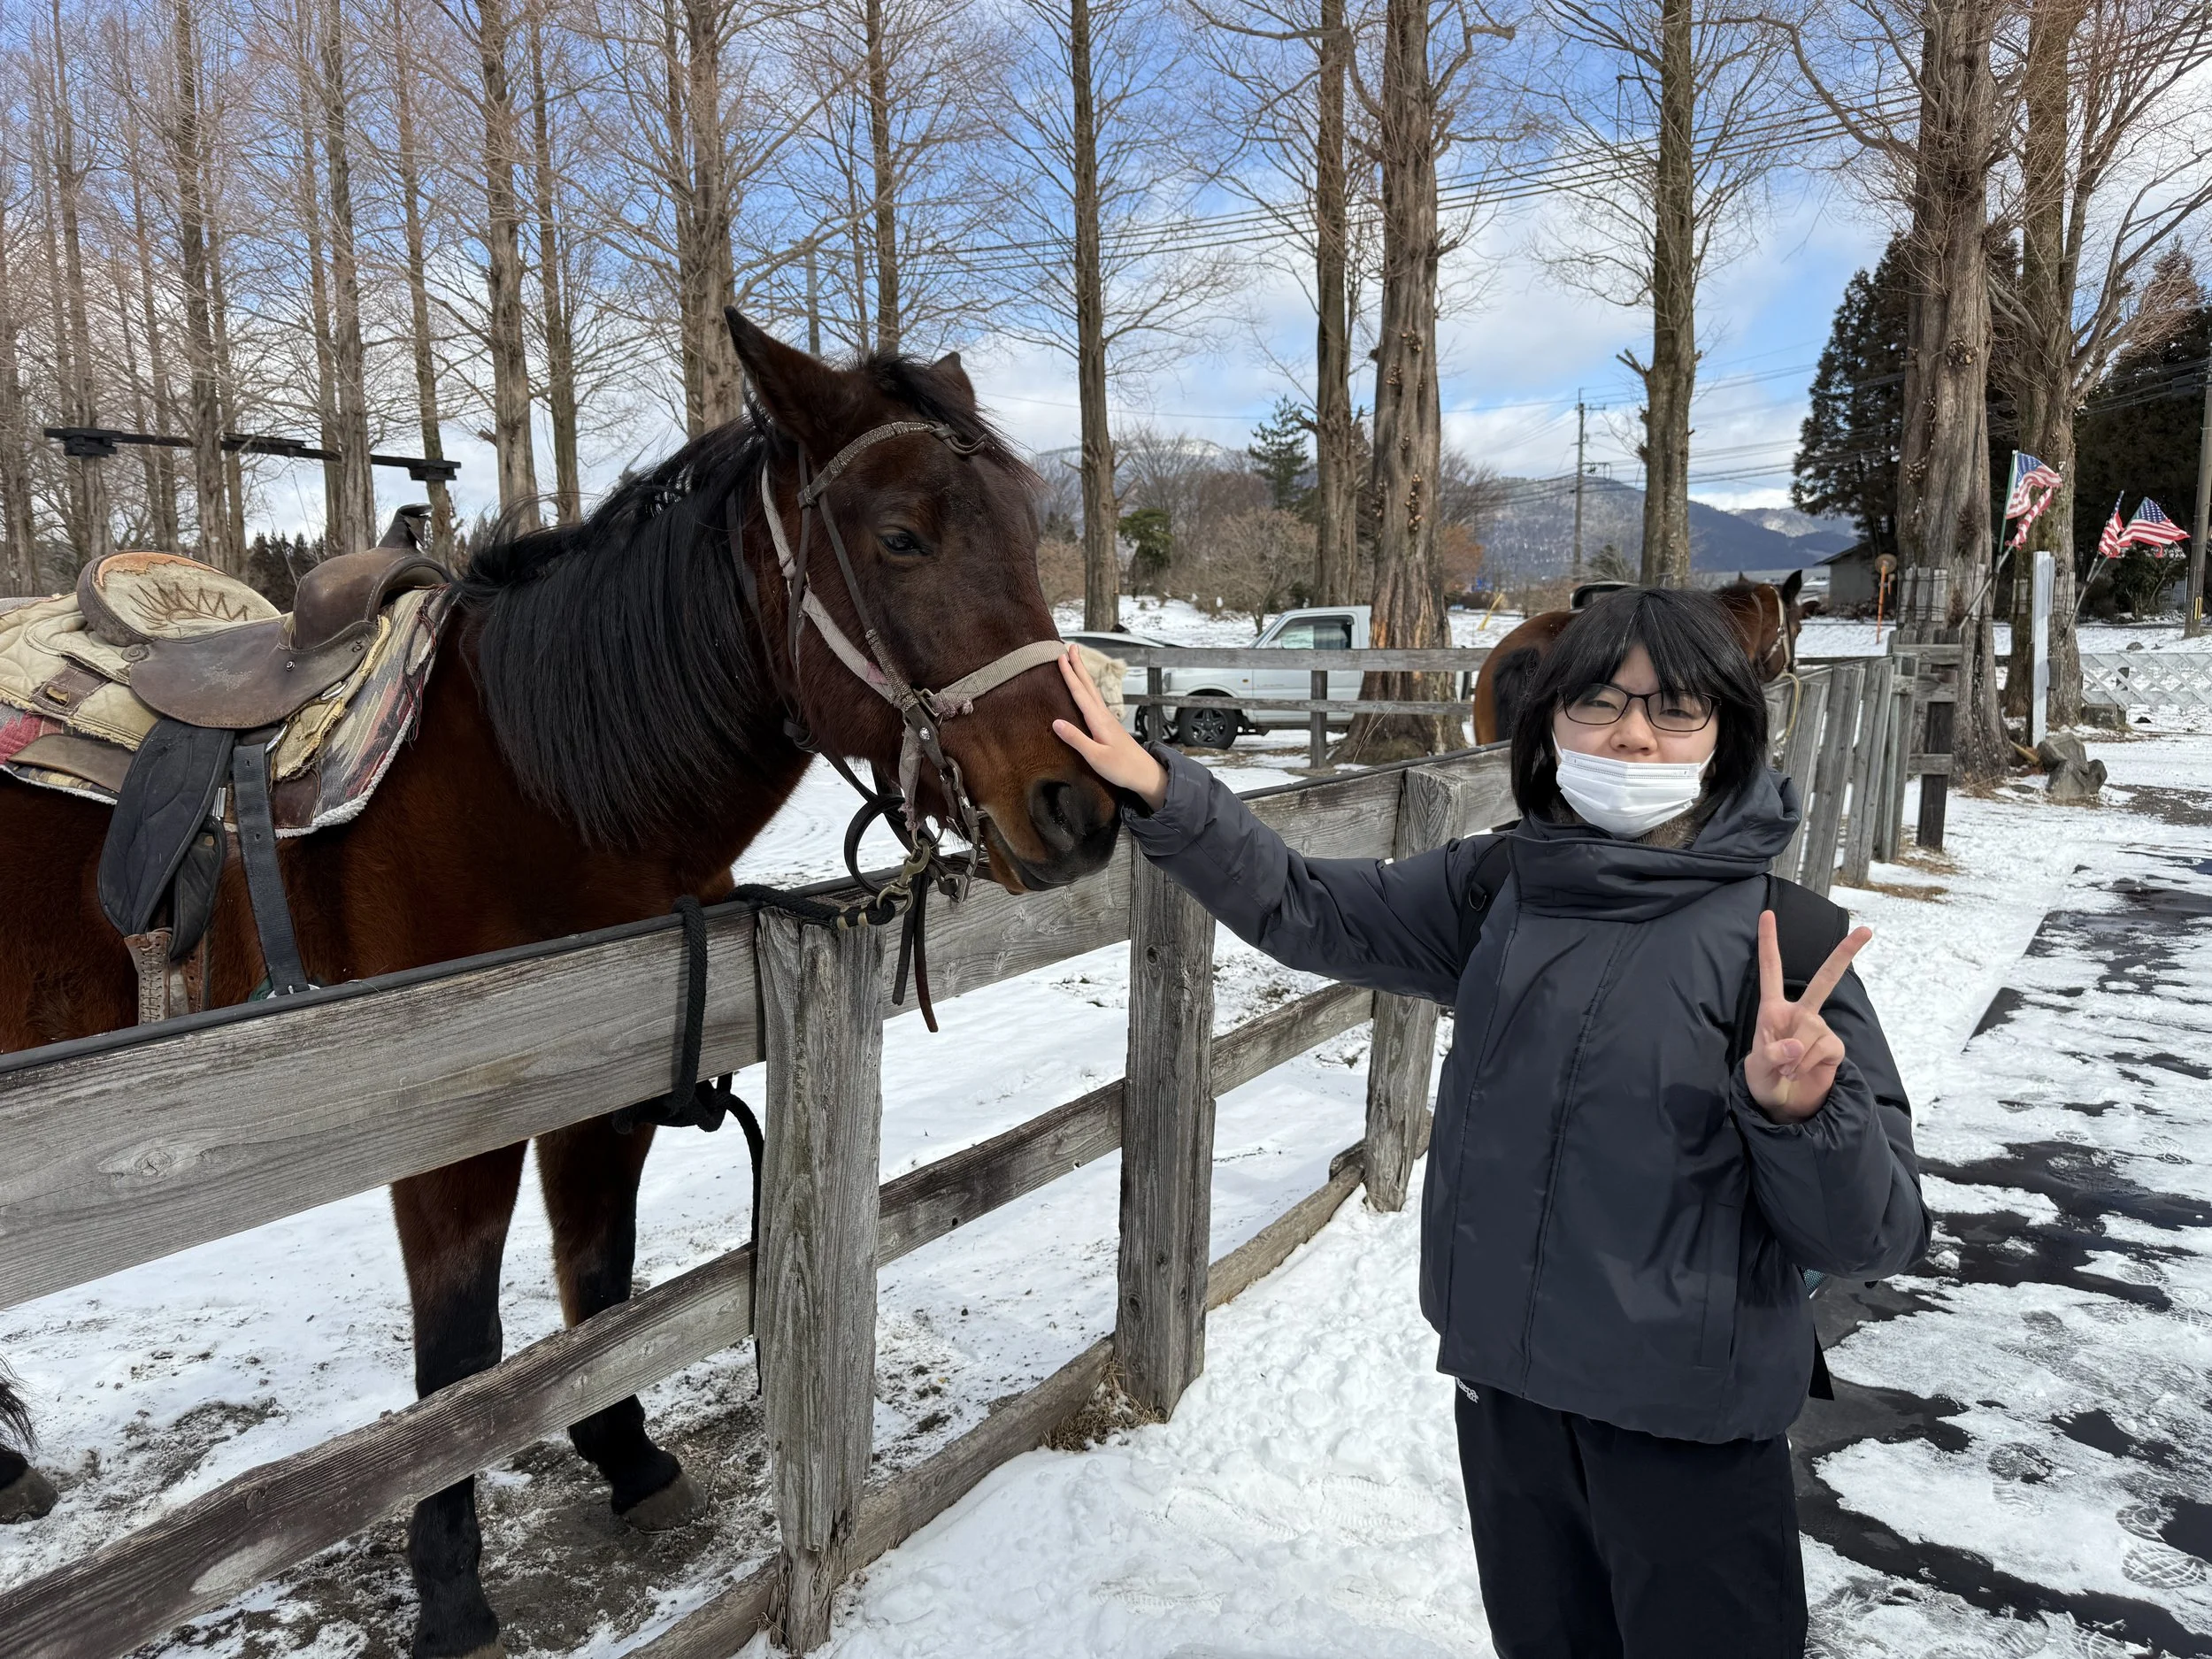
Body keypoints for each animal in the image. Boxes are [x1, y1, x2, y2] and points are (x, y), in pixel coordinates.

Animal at [0, 318, 1120, 1659]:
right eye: (901, 536)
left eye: (1023, 524)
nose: (1082, 809)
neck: (534, 783)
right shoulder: (445, 1133)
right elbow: (463, 1361)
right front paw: (451, 1594)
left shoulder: (616, 1077)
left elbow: (601, 1277)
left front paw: (626, 1455)